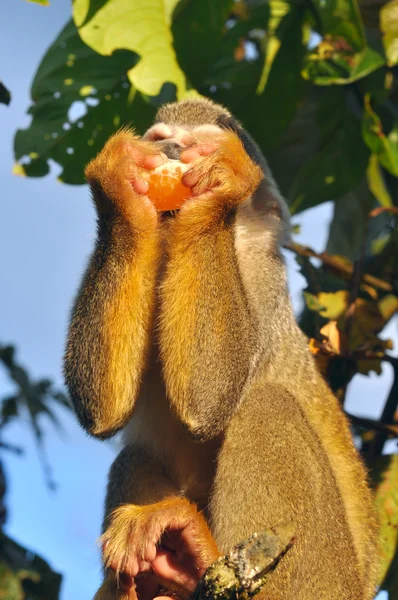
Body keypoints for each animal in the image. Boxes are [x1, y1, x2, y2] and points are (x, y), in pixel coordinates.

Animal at [63, 98, 380, 600]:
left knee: (267, 407)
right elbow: (103, 412)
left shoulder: (259, 276)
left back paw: (201, 553)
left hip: (322, 581)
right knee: (133, 453)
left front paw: (220, 191)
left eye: (197, 145)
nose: (172, 149)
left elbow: (208, 401)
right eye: (160, 140)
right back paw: (173, 568)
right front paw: (119, 187)